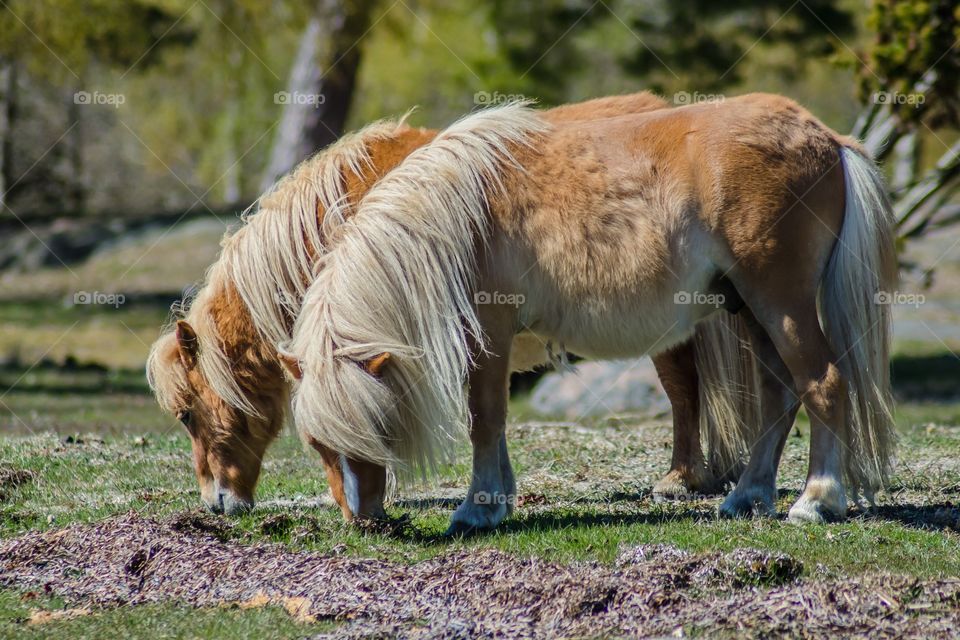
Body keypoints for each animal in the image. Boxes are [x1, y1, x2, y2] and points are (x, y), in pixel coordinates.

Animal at [284, 94, 900, 528]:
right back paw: (748, 496)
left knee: (823, 382)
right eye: (316, 445)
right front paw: (498, 498)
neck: (455, 214)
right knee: (779, 392)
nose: (363, 521)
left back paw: (817, 500)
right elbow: (495, 421)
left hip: (782, 304)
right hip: (750, 309)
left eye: (373, 427)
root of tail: (826, 137)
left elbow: (485, 415)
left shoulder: (488, 331)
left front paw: (478, 508)